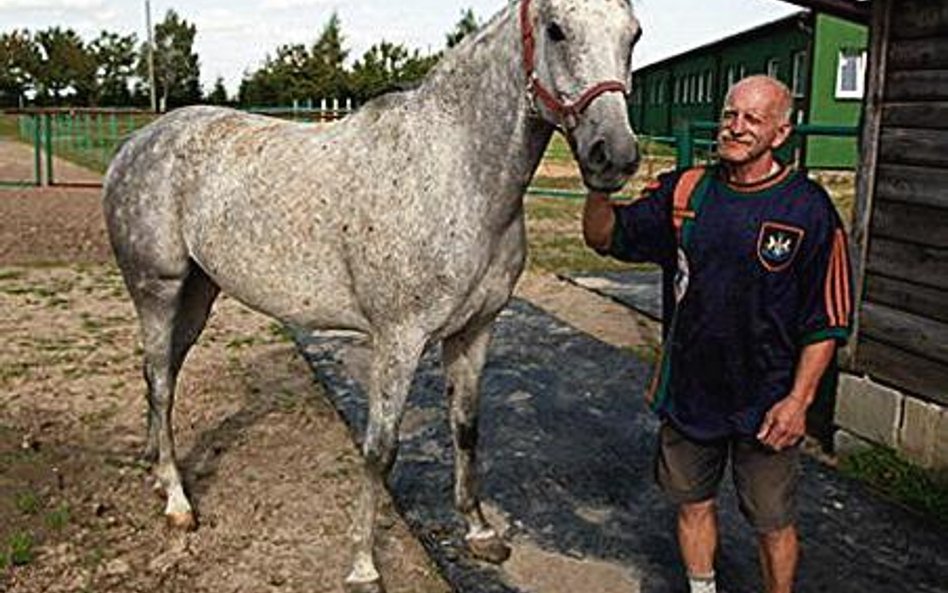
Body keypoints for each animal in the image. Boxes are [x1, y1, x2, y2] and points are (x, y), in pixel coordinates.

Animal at [103, 1, 640, 588]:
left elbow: (467, 428)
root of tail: (134, 145)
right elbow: (380, 450)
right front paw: (363, 565)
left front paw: (479, 532)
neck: (456, 174)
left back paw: (157, 470)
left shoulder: (476, 329)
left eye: (634, 35)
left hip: (198, 294)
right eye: (556, 30)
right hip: (157, 291)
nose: (613, 156)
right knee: (160, 383)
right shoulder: (399, 339)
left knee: (162, 375)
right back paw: (177, 501)